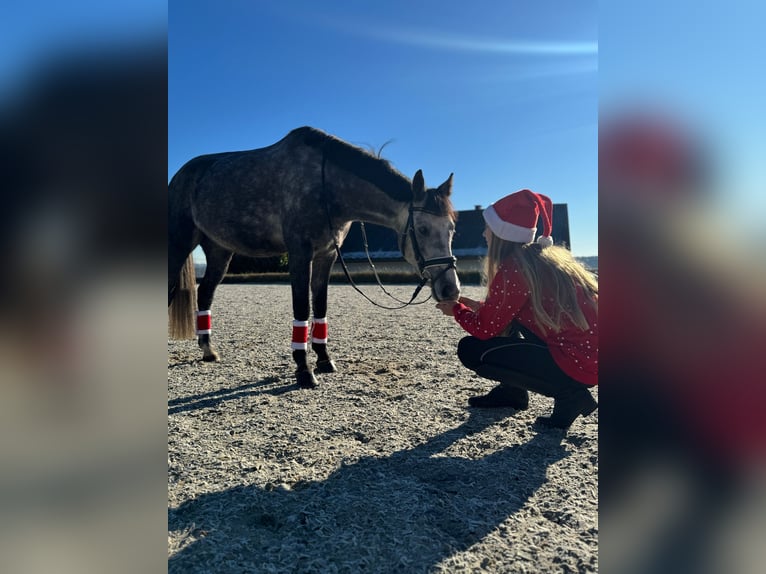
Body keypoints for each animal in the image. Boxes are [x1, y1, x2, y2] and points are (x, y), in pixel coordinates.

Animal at [168, 126, 461, 388]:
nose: (451, 290)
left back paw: (208, 350)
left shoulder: (327, 256)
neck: (326, 187)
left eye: (451, 229)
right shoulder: (300, 253)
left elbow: (320, 306)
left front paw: (324, 360)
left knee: (205, 293)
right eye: (422, 229)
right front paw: (304, 370)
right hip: (179, 243)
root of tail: (181, 176)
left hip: (220, 251)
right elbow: (302, 308)